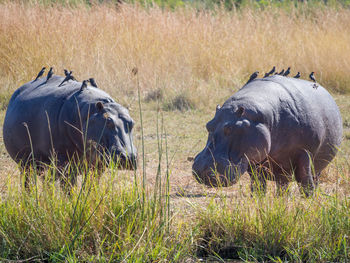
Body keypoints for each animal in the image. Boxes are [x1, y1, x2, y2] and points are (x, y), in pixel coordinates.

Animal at [3, 72, 137, 188]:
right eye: (108, 121)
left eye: (132, 123)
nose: (129, 157)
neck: (88, 113)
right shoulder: (65, 165)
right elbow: (69, 187)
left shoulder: (98, 166)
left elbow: (91, 185)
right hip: (25, 164)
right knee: (28, 183)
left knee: (46, 182)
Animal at [191, 75, 342, 195]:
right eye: (208, 125)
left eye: (231, 128)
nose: (202, 169)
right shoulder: (254, 160)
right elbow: (258, 182)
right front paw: (257, 196)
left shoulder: (305, 152)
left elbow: (305, 178)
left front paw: (308, 198)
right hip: (282, 169)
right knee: (282, 184)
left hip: (316, 166)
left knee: (312, 179)